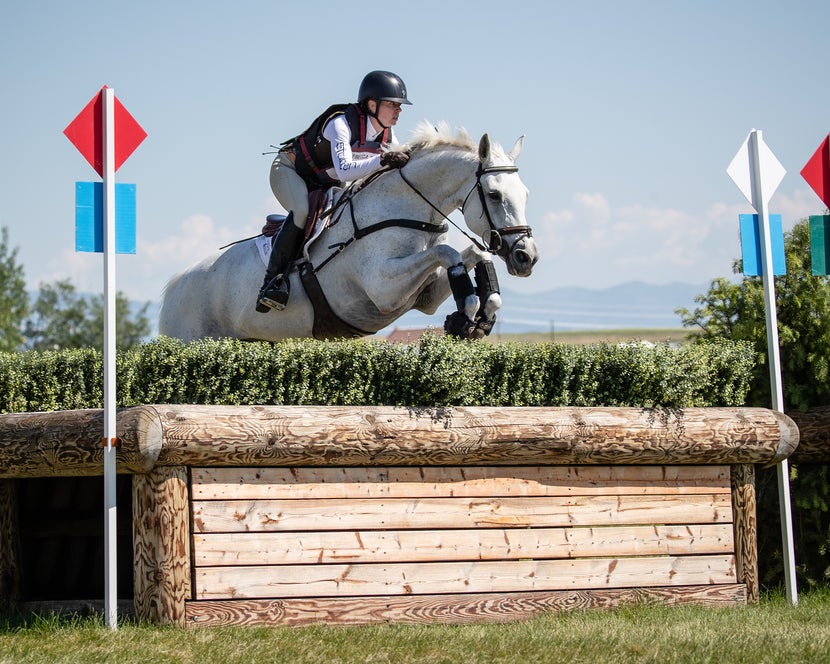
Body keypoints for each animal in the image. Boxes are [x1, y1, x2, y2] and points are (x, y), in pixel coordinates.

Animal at [159, 121, 544, 342]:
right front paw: (467, 313)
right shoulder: (384, 288)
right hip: (190, 342)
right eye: (493, 194)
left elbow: (473, 254)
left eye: (526, 194)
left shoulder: (423, 297)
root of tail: (175, 285)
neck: (406, 207)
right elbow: (448, 254)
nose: (526, 257)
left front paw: (478, 317)